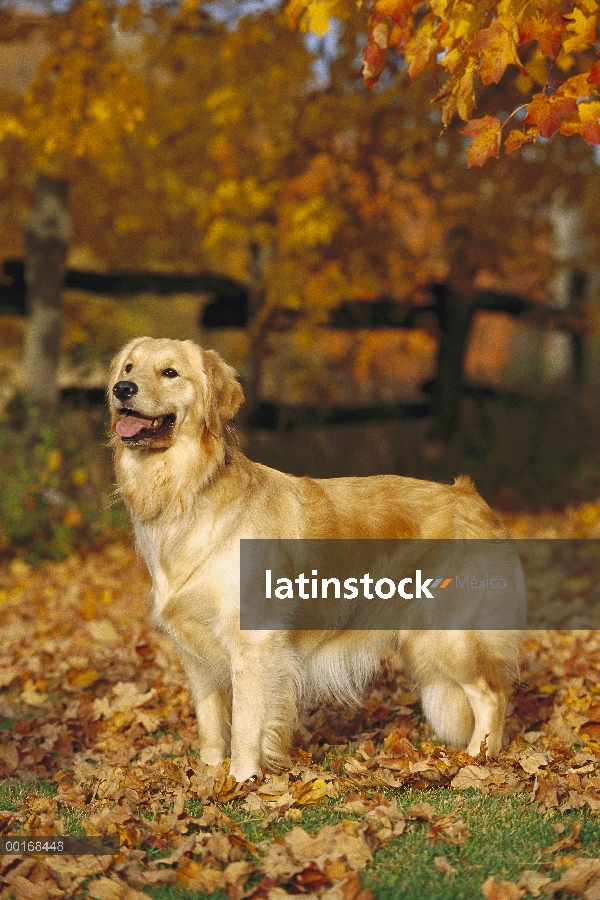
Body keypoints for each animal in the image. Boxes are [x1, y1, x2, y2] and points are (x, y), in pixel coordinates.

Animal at [109, 338, 520, 780]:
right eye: (129, 367)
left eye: (170, 372)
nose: (121, 390)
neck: (187, 492)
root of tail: (470, 495)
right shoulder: (194, 652)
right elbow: (212, 726)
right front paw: (208, 776)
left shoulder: (253, 643)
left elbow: (246, 725)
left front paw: (240, 780)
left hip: (447, 634)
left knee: (493, 693)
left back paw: (479, 760)